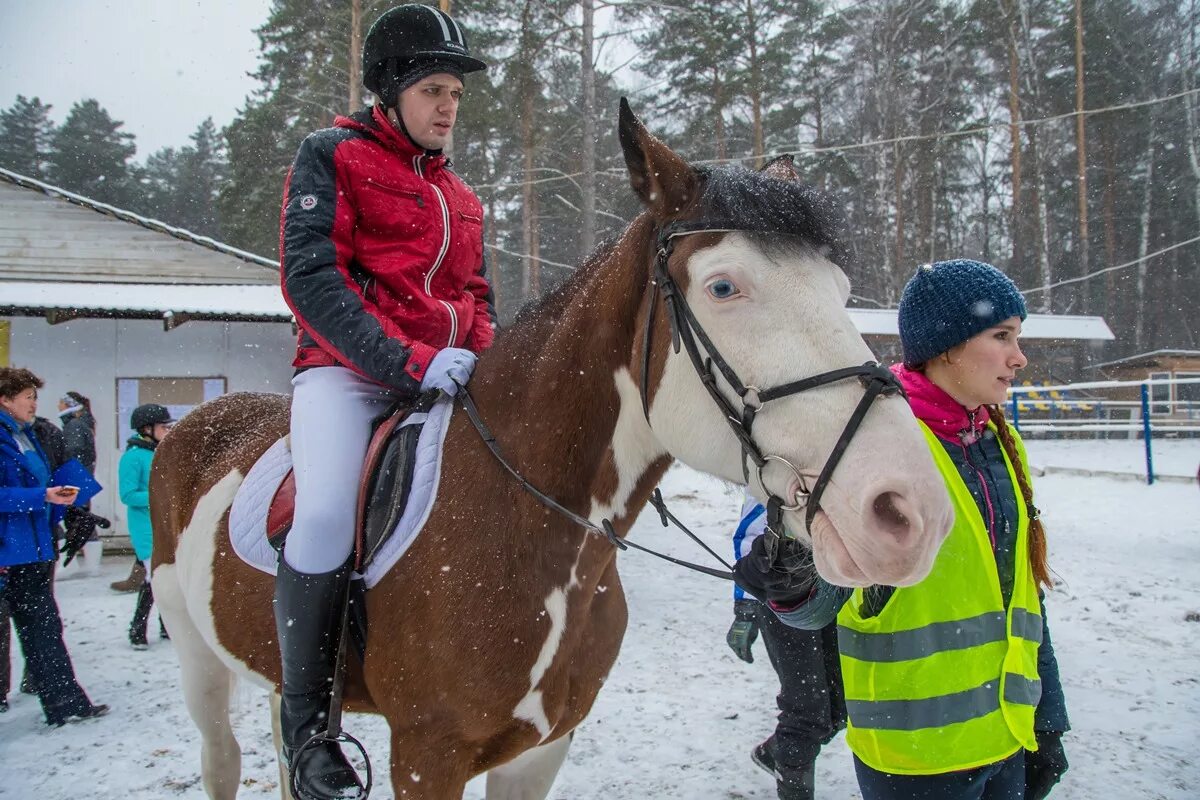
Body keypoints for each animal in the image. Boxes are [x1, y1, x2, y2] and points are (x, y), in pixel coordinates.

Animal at [152, 101, 955, 800]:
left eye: (839, 287)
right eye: (724, 286)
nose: (911, 514)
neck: (523, 524)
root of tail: (202, 421)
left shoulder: (540, 750)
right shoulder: (426, 754)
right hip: (196, 657)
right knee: (222, 758)